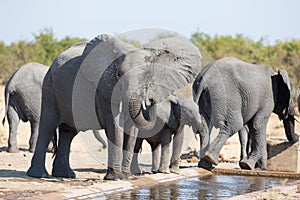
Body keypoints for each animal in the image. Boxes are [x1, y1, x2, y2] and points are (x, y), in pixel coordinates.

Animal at [27, 34, 202, 180]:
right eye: (118, 75)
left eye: (148, 77)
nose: (151, 99)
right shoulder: (104, 86)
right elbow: (114, 125)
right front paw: (116, 177)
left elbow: (132, 129)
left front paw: (127, 176)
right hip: (49, 86)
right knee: (47, 126)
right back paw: (39, 175)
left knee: (68, 132)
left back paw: (66, 175)